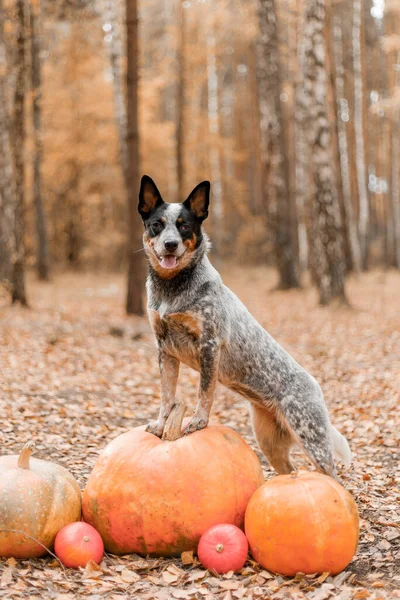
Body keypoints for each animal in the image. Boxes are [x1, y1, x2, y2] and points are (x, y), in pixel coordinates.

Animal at [139, 173, 352, 478]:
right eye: (157, 224)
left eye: (184, 226)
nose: (170, 244)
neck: (171, 288)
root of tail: (316, 387)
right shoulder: (164, 348)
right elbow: (167, 394)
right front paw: (160, 424)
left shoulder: (209, 344)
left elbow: (205, 391)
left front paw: (198, 421)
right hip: (269, 443)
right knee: (289, 471)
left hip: (313, 440)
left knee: (332, 479)